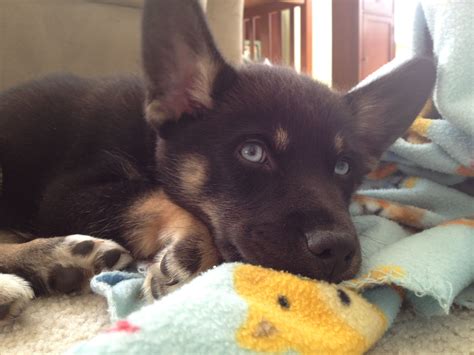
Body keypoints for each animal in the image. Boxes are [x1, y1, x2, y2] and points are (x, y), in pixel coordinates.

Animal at [0, 0, 436, 324]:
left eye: (343, 167)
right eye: (253, 152)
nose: (338, 250)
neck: (149, 137)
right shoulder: (66, 196)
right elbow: (154, 194)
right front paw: (192, 247)